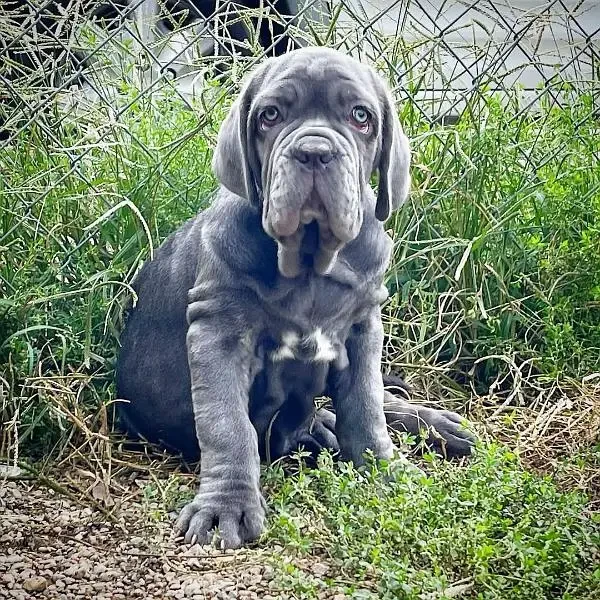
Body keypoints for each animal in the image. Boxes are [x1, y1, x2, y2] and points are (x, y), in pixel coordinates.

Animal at [116, 49, 474, 552]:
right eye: (270, 116)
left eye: (361, 117)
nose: (315, 152)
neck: (309, 263)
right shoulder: (218, 331)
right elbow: (227, 425)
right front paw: (226, 506)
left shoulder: (364, 327)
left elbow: (367, 407)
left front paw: (385, 471)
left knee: (370, 402)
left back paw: (431, 423)